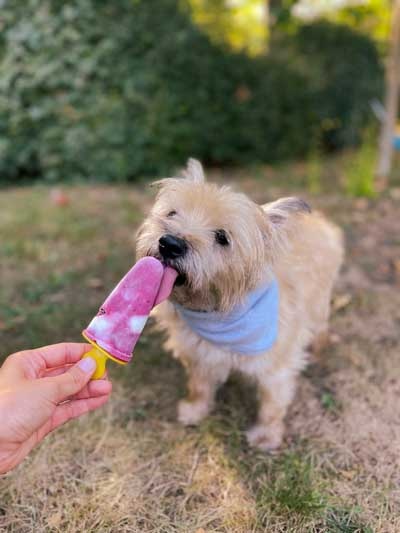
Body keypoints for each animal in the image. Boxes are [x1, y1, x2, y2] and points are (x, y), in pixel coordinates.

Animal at [136, 158, 342, 448]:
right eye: (172, 213)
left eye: (222, 237)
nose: (170, 244)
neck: (218, 308)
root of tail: (319, 219)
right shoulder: (199, 353)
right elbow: (199, 385)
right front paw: (195, 411)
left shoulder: (277, 368)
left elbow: (271, 404)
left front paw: (266, 436)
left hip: (320, 303)